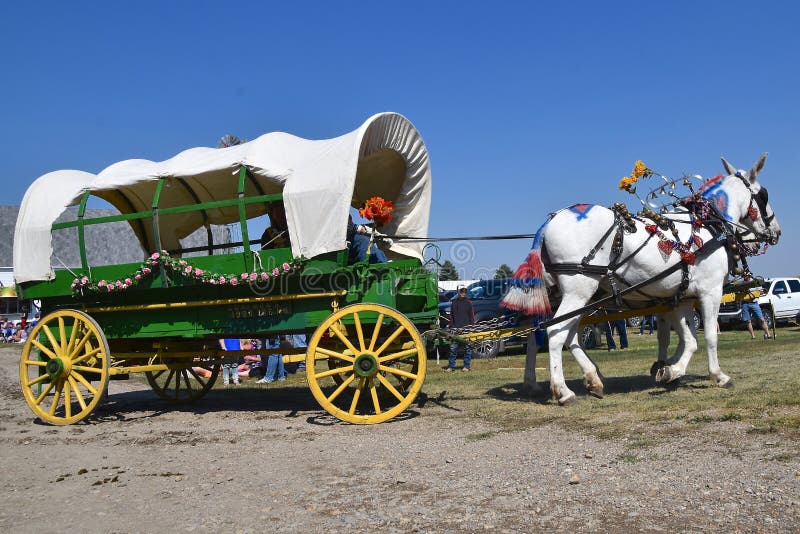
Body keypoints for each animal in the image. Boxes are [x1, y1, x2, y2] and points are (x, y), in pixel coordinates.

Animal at [503, 154, 781, 405]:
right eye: (764, 195)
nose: (776, 232)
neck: (707, 225)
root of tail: (548, 223)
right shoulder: (709, 292)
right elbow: (709, 335)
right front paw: (718, 376)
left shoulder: (679, 298)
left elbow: (686, 339)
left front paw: (669, 370)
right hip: (578, 291)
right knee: (554, 333)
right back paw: (563, 391)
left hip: (571, 296)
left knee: (553, 334)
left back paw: (586, 380)